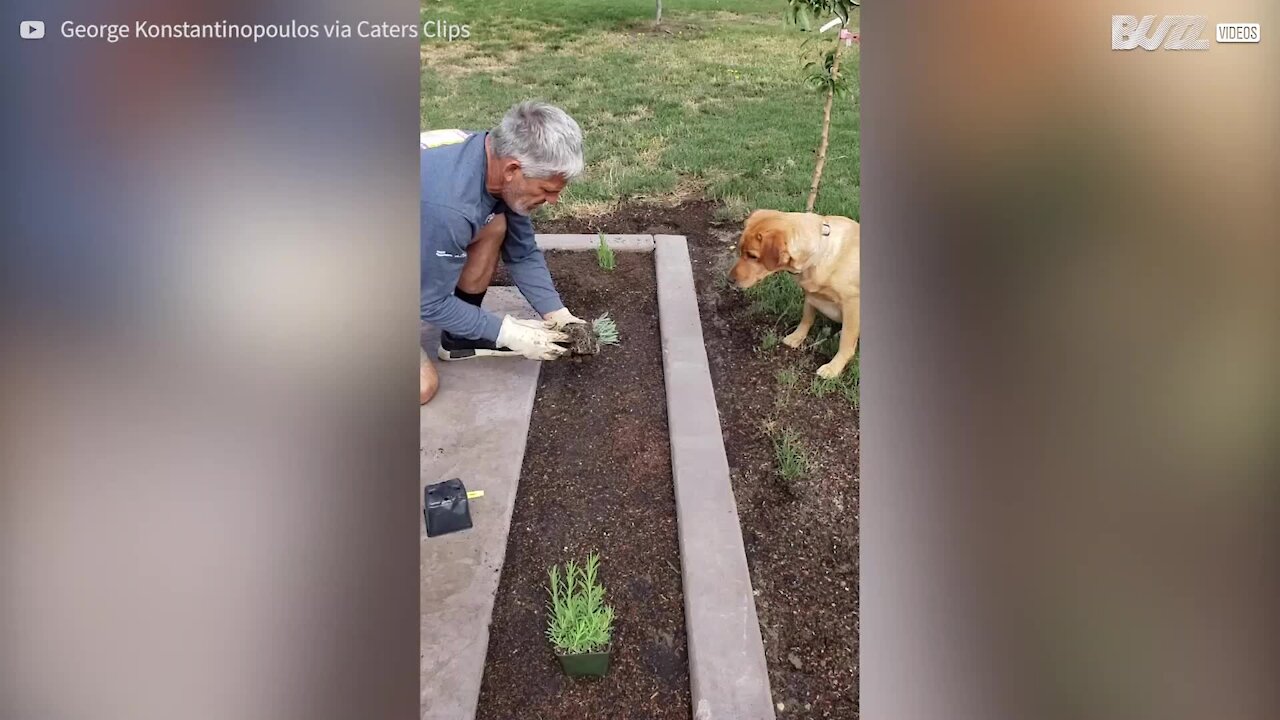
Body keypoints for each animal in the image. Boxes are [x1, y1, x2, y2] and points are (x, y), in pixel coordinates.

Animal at [732, 208, 860, 379]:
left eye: (753, 256)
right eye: (740, 250)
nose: (729, 279)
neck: (820, 256)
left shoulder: (852, 304)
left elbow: (846, 342)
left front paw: (834, 367)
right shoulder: (810, 296)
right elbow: (806, 318)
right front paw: (797, 336)